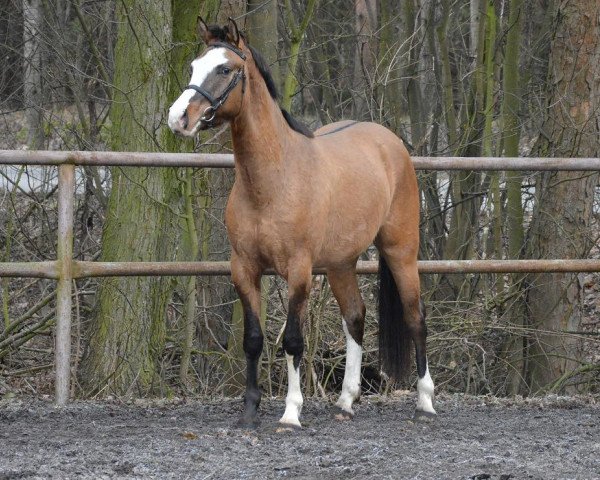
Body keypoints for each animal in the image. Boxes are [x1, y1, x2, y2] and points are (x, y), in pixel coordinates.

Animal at [169, 16, 436, 428]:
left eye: (225, 69)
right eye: (194, 66)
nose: (178, 119)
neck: (272, 182)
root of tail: (390, 141)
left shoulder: (298, 271)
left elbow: (293, 341)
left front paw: (291, 412)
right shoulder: (244, 269)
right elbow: (253, 340)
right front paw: (249, 411)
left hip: (401, 251)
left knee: (414, 317)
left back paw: (425, 402)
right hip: (341, 264)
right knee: (355, 317)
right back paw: (346, 401)